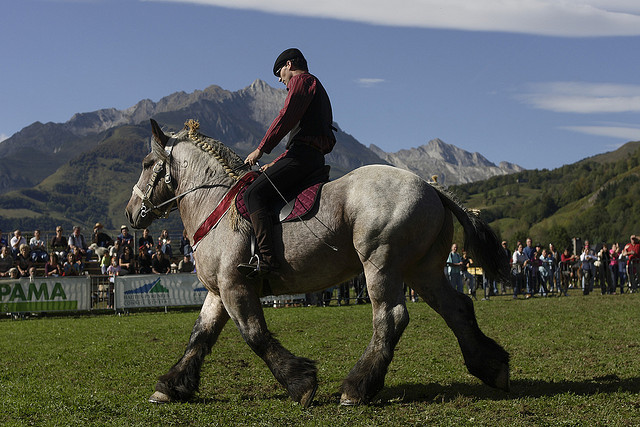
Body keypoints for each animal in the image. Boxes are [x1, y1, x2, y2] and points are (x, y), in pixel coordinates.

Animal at [126, 119, 510, 408]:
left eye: (146, 164)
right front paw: (171, 386)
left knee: (391, 318)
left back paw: (357, 388)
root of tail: (431, 188)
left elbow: (255, 336)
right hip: (423, 270)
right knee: (457, 308)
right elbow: (199, 337)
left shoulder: (236, 287)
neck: (214, 202)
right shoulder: (218, 291)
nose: (130, 214)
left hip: (381, 263)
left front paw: (301, 383)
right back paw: (491, 367)